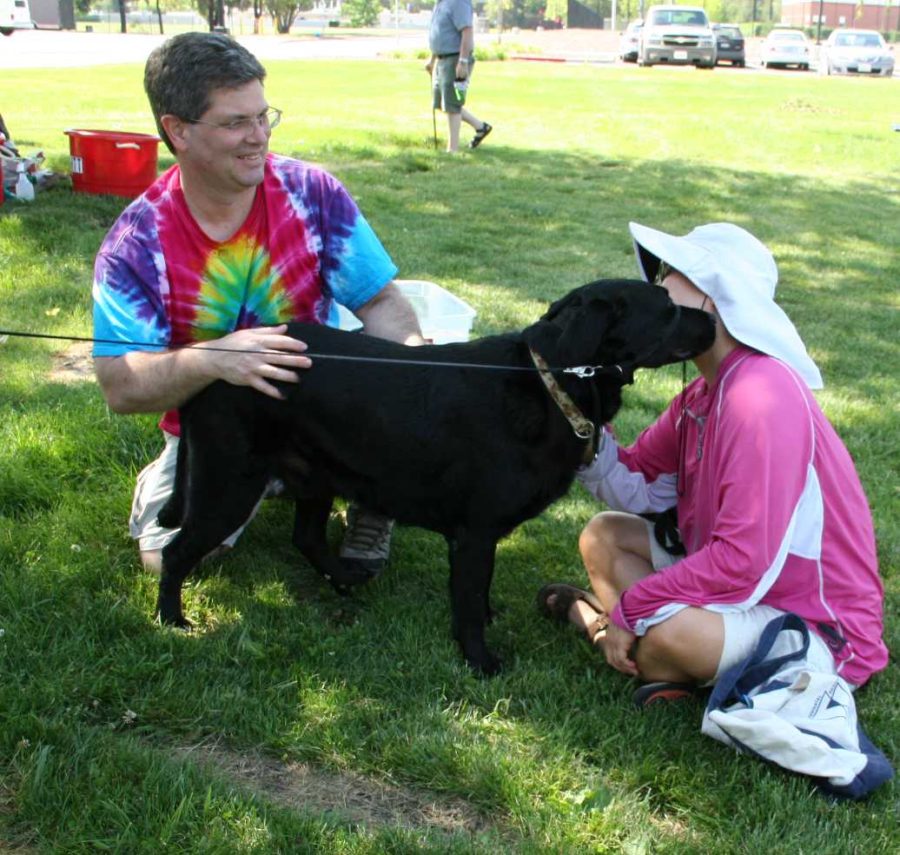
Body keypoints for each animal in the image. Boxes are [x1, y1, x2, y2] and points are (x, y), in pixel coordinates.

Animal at [156, 280, 716, 676]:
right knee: (177, 550)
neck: (550, 384)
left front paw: (487, 621)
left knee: (306, 536)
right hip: (230, 481)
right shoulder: (475, 532)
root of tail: (214, 360)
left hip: (314, 472)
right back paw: (171, 621)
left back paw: (346, 577)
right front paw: (480, 660)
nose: (711, 319)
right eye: (668, 307)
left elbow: (480, 590)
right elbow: (467, 598)